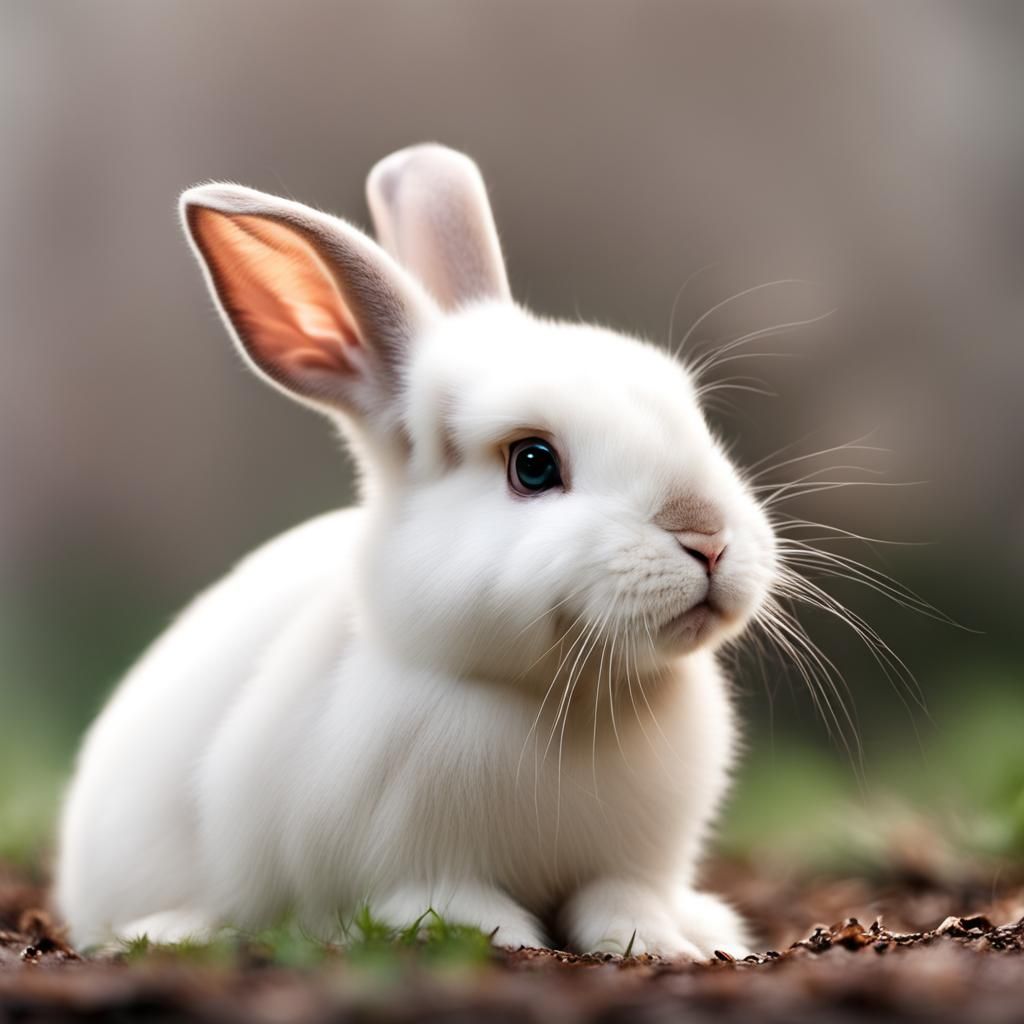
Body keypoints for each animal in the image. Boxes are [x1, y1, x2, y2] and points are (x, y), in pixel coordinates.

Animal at [55, 144, 777, 957]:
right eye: (533, 464)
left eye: (693, 416)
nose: (707, 537)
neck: (571, 698)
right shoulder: (420, 866)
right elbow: (454, 905)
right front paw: (504, 939)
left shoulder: (628, 865)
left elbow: (622, 902)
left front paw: (667, 943)